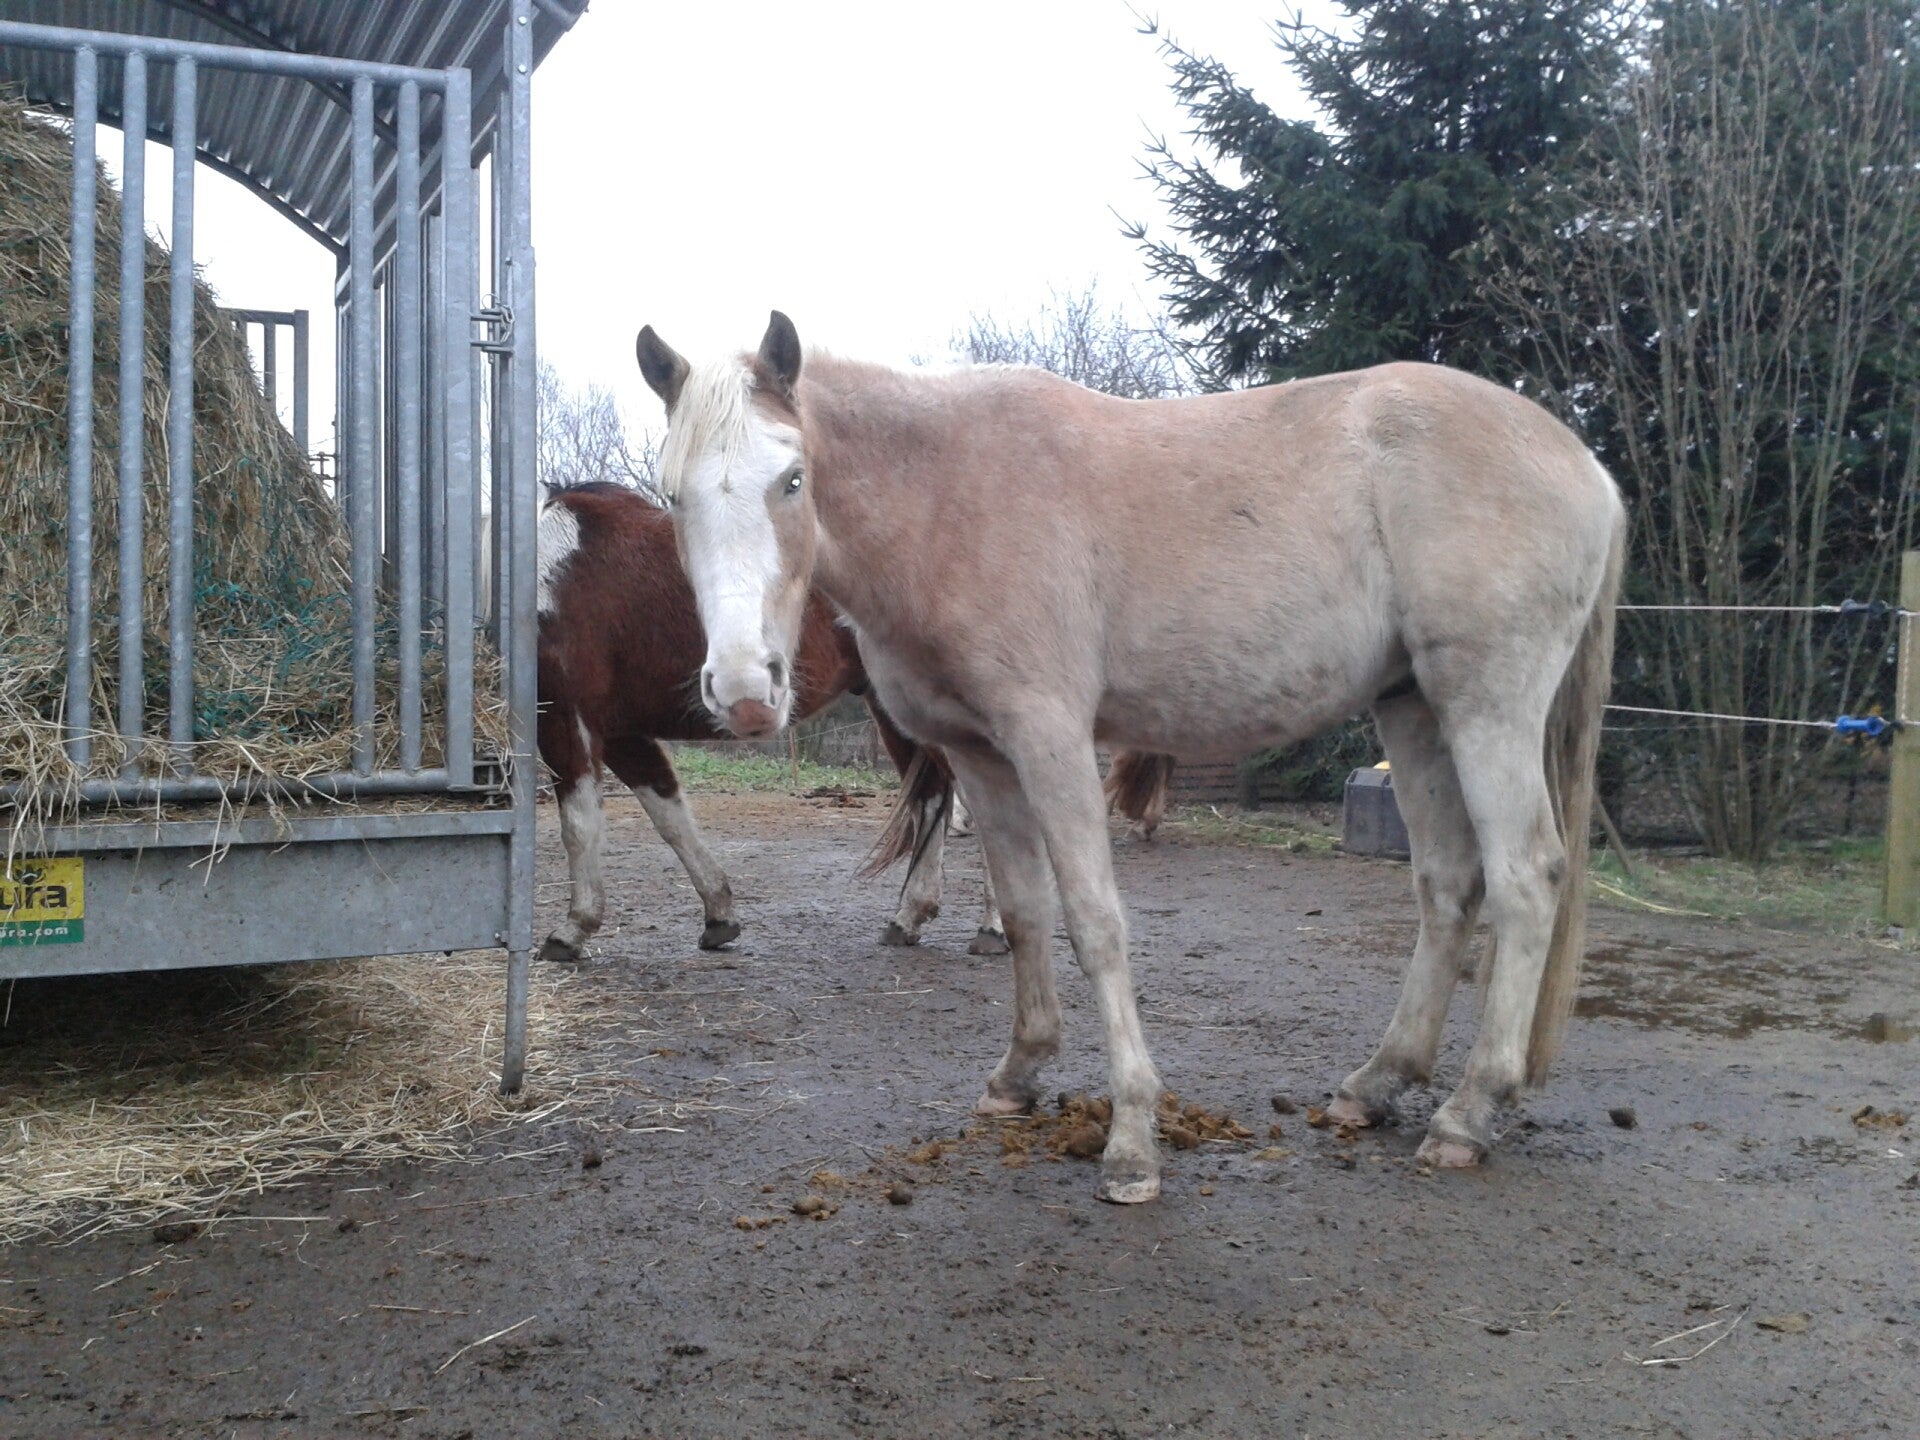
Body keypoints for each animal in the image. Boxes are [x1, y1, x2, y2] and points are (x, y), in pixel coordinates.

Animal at [534, 481, 1010, 962]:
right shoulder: (621, 733)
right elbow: (670, 816)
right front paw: (719, 915)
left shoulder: (562, 719)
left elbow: (579, 825)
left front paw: (571, 929)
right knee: (932, 797)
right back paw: (910, 916)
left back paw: (993, 928)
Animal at [634, 313, 1623, 1204]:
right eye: (675, 495)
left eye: (792, 479)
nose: (744, 690)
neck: (950, 497)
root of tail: (1588, 468)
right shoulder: (980, 754)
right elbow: (1025, 911)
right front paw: (1019, 1073)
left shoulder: (1052, 738)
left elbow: (1094, 923)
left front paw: (1132, 1141)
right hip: (1412, 708)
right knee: (1448, 884)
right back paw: (1377, 1085)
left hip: (1486, 705)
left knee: (1526, 877)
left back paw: (1468, 1113)